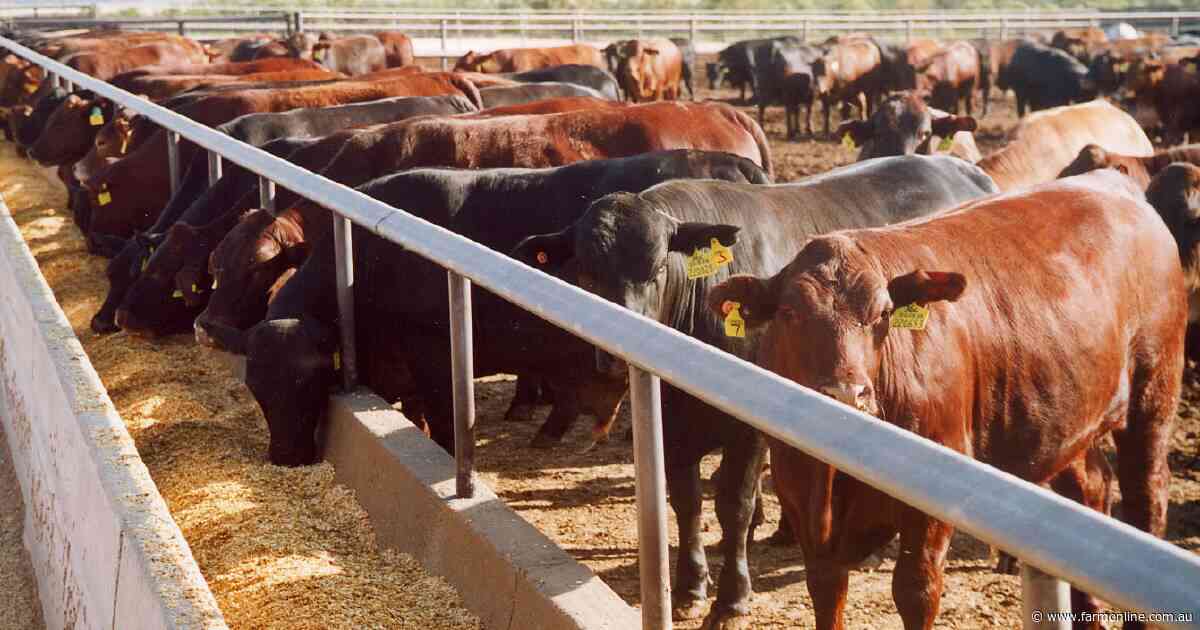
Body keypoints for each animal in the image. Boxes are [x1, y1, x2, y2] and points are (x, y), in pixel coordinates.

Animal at [510, 155, 998, 629]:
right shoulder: (672, 426)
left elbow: (734, 505)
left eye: (659, 266)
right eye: (585, 270)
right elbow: (686, 501)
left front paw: (730, 599)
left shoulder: (748, 430)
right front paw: (689, 587)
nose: (614, 345)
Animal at [706, 169, 1181, 630]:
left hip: (1154, 390)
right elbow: (826, 589)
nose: (845, 392)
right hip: (1066, 419)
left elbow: (916, 592)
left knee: (1148, 497)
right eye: (789, 313)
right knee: (1092, 487)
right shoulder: (799, 488)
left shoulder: (935, 493)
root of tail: (1112, 182)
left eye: (883, 314)